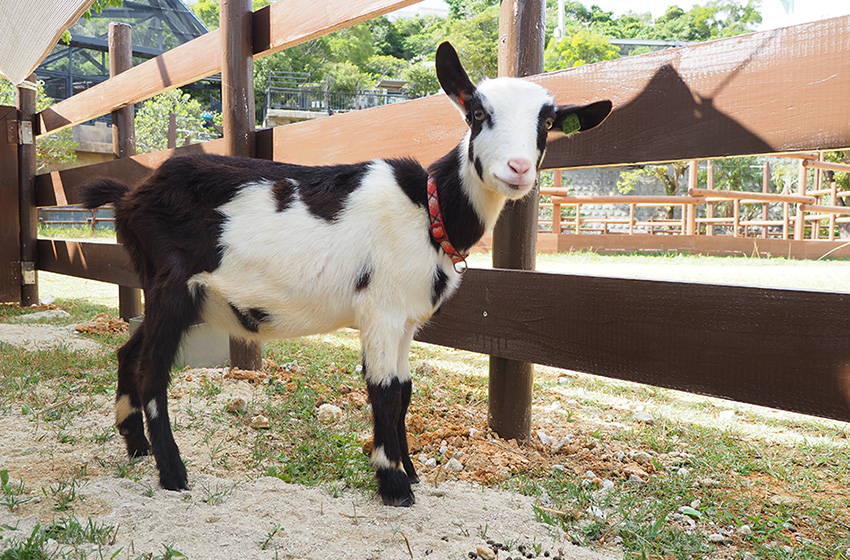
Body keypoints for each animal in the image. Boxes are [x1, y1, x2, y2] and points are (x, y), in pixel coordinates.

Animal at [81, 42, 608, 508]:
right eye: (477, 113)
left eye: (547, 122)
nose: (517, 169)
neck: (428, 209)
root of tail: (130, 197)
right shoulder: (381, 311)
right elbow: (384, 392)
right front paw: (394, 486)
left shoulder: (406, 319)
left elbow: (405, 391)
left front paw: (409, 470)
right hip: (172, 284)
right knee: (152, 371)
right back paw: (173, 473)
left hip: (169, 290)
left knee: (129, 352)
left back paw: (135, 445)